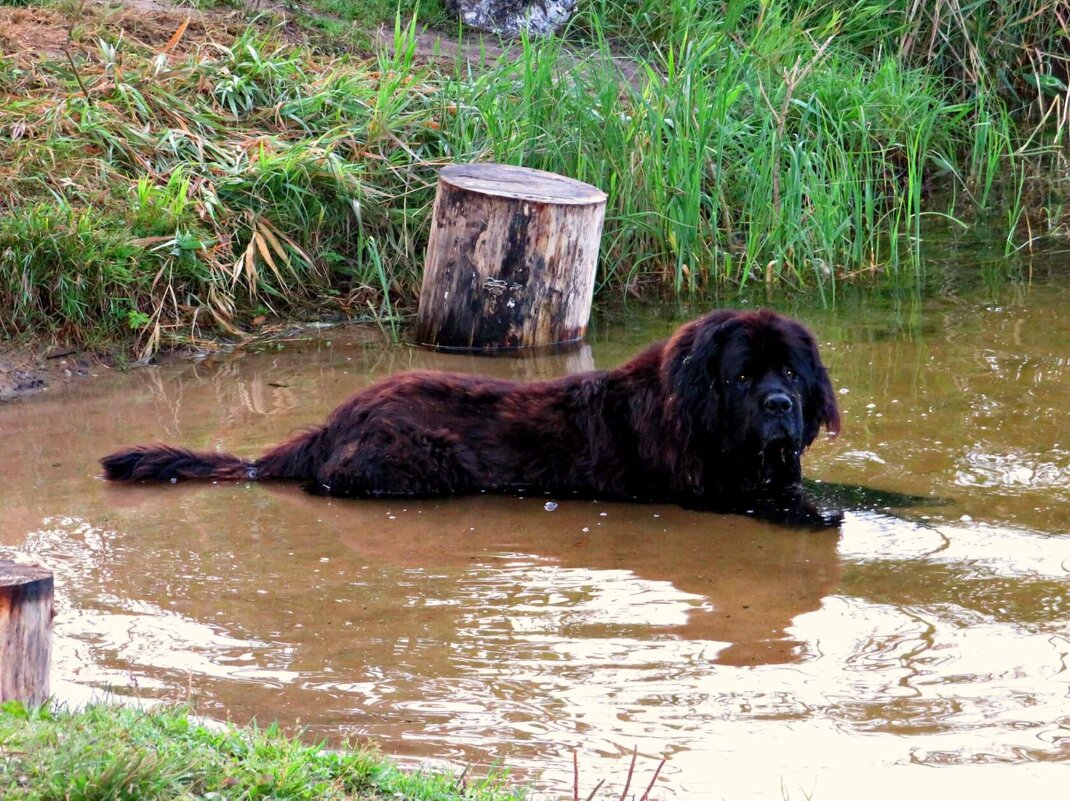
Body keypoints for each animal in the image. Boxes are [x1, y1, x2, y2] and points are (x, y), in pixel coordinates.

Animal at [100, 310, 838, 528]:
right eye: (742, 377)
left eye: (792, 374)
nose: (780, 405)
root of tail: (334, 421)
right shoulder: (702, 489)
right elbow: (762, 500)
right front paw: (813, 514)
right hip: (422, 457)